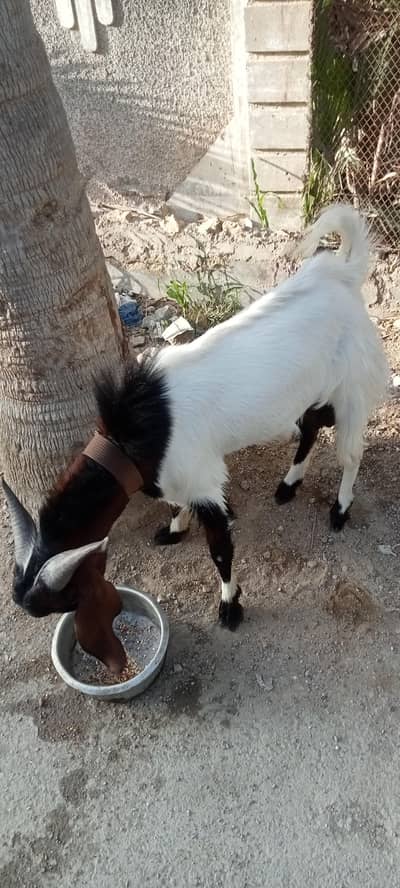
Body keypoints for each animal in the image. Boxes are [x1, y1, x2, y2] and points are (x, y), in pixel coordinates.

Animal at [3, 205, 389, 670]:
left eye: (68, 597)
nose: (99, 645)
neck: (141, 427)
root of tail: (343, 274)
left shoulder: (203, 481)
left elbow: (220, 549)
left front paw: (231, 607)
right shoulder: (172, 474)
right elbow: (174, 503)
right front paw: (174, 529)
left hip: (351, 386)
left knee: (351, 452)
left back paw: (340, 508)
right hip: (313, 389)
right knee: (313, 426)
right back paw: (288, 484)